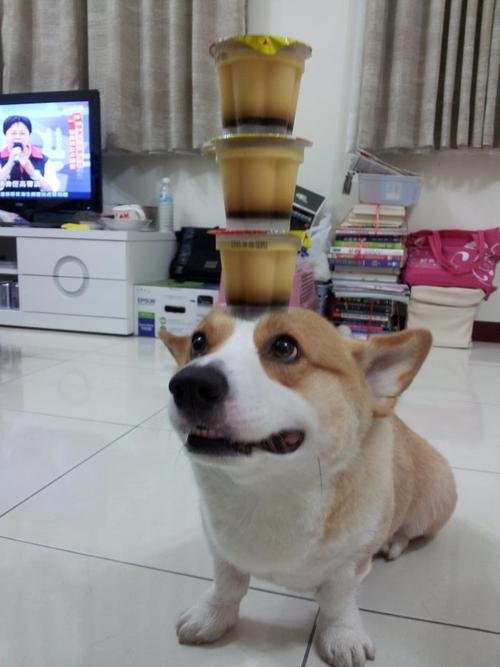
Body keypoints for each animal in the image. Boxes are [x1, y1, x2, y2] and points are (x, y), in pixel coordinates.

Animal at [160, 308, 456, 667]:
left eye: (285, 347)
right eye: (199, 341)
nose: (189, 384)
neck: (268, 491)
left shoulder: (350, 565)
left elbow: (337, 603)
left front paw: (342, 635)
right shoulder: (221, 550)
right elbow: (227, 585)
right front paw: (212, 616)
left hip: (436, 499)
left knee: (410, 531)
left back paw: (394, 544)